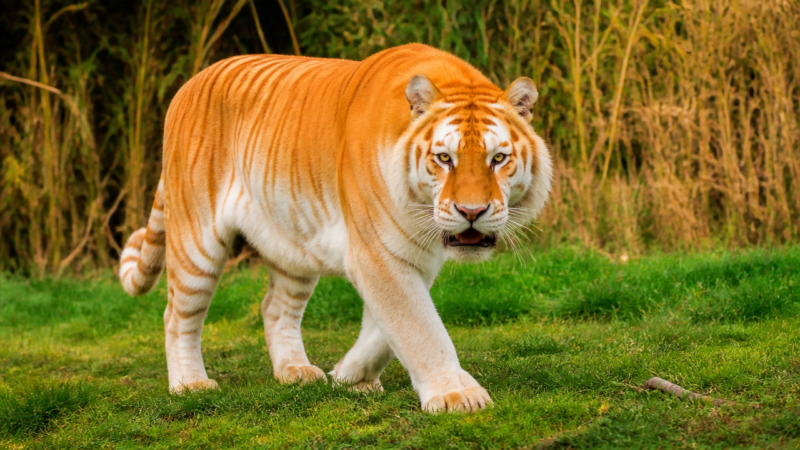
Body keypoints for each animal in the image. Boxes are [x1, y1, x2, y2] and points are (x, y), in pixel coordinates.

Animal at [118, 43, 552, 413]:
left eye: (498, 159)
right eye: (444, 158)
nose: (471, 211)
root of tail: (189, 83)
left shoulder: (409, 256)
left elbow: (386, 330)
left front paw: (350, 377)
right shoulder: (378, 253)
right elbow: (419, 327)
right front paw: (456, 394)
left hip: (292, 243)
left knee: (275, 307)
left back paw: (295, 372)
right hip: (196, 240)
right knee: (176, 316)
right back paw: (190, 385)